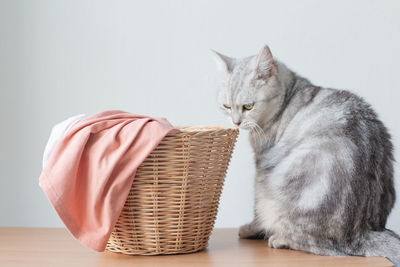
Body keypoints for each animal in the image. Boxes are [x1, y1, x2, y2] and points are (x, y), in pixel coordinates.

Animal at [214, 45, 398, 266]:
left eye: (248, 106)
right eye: (226, 106)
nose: (236, 122)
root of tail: (363, 231)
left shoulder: (263, 166)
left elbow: (256, 209)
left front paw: (249, 229)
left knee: (317, 244)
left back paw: (278, 239)